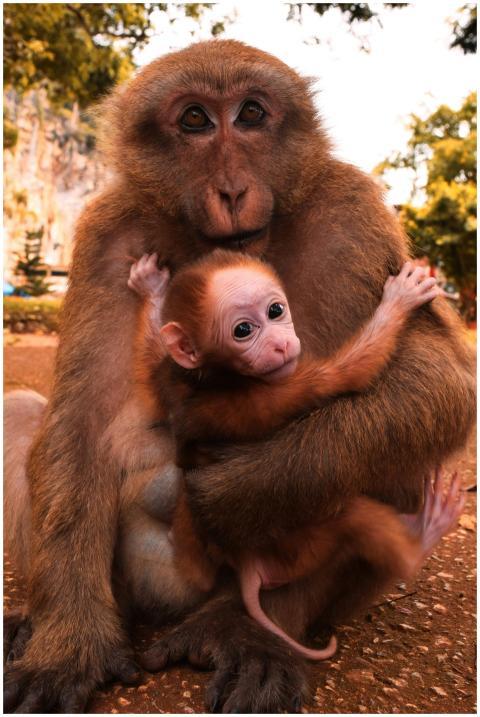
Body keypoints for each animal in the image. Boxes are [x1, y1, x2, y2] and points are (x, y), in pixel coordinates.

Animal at [127, 247, 462, 661]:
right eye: (243, 330)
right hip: (302, 548)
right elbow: (349, 374)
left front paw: (151, 289)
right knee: (356, 517)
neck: (215, 375)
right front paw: (399, 300)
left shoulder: (172, 378)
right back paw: (422, 538)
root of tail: (248, 568)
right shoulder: (274, 388)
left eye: (275, 310)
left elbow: (152, 371)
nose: (280, 344)